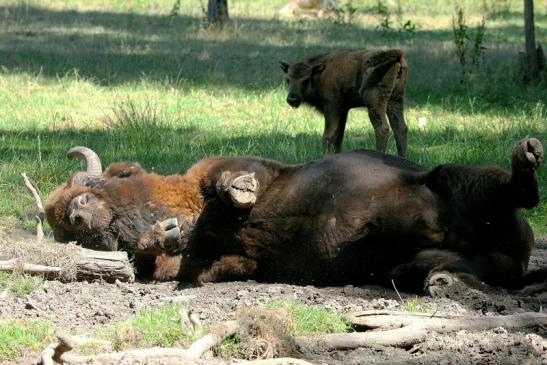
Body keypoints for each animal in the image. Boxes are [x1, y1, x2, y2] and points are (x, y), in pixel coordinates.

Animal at [46, 137, 544, 292]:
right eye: (66, 233)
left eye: (98, 185)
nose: (77, 216)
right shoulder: (231, 262)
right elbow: (173, 260)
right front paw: (166, 234)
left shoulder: (241, 167)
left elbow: (231, 181)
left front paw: (238, 192)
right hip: (420, 260)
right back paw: (441, 280)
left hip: (452, 179)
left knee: (515, 191)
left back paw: (527, 157)